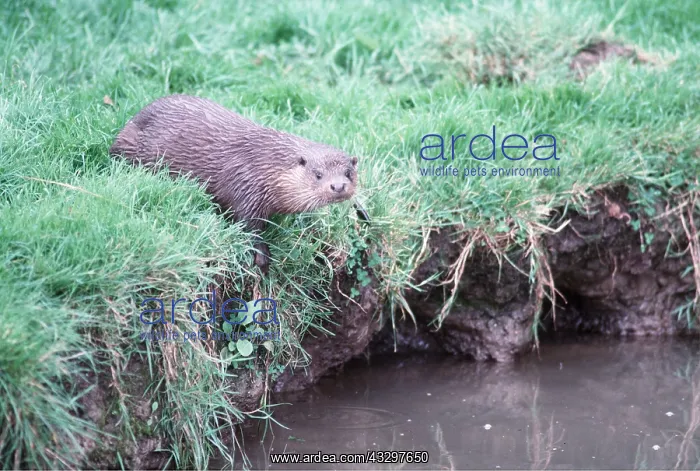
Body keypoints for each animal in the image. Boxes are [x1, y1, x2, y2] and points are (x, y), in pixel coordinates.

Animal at [109, 94, 358, 273]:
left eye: (348, 172)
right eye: (318, 174)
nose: (338, 186)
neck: (266, 167)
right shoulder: (246, 186)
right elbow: (247, 224)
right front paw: (262, 257)